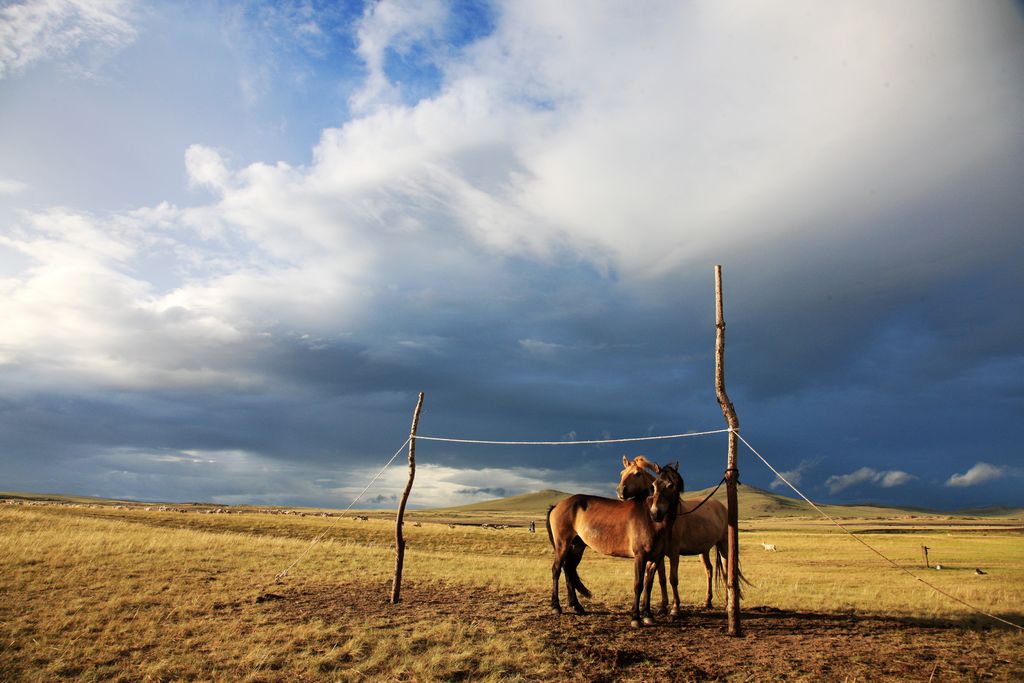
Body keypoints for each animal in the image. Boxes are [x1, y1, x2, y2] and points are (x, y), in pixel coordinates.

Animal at [548, 462, 684, 626]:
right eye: (654, 485)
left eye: (671, 485)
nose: (655, 513)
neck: (652, 522)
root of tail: (557, 505)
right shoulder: (640, 556)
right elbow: (638, 585)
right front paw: (635, 618)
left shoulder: (655, 558)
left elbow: (648, 585)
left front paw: (647, 615)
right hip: (562, 545)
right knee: (556, 570)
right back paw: (556, 606)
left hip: (576, 547)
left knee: (568, 569)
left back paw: (576, 605)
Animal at [610, 456, 749, 618]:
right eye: (622, 473)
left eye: (637, 474)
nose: (620, 491)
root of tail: (721, 507)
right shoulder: (658, 554)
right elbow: (662, 579)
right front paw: (662, 606)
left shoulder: (674, 553)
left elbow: (673, 579)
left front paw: (675, 608)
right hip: (703, 550)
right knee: (709, 570)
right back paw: (707, 602)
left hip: (724, 545)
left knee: (727, 572)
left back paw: (728, 605)